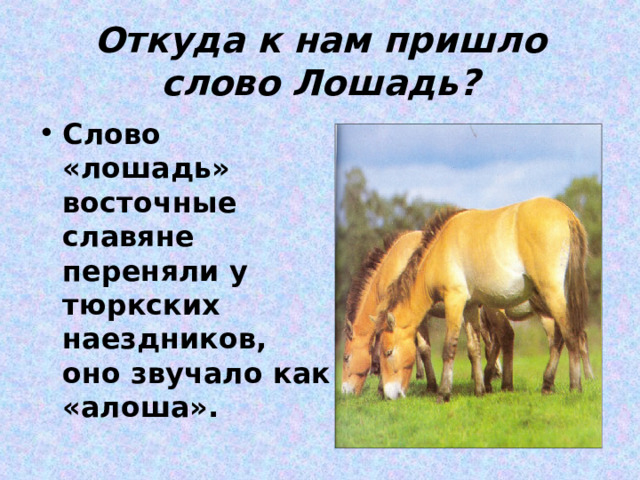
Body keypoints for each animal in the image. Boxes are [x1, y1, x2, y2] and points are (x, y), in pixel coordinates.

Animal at [374, 198, 590, 402]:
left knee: (569, 335)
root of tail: (567, 214)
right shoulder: (469, 307)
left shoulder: (454, 300)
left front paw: (443, 393)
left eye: (388, 352)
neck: (438, 250)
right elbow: (474, 348)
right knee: (560, 338)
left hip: (551, 293)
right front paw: (479, 390)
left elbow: (449, 347)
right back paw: (547, 384)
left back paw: (575, 386)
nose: (388, 394)